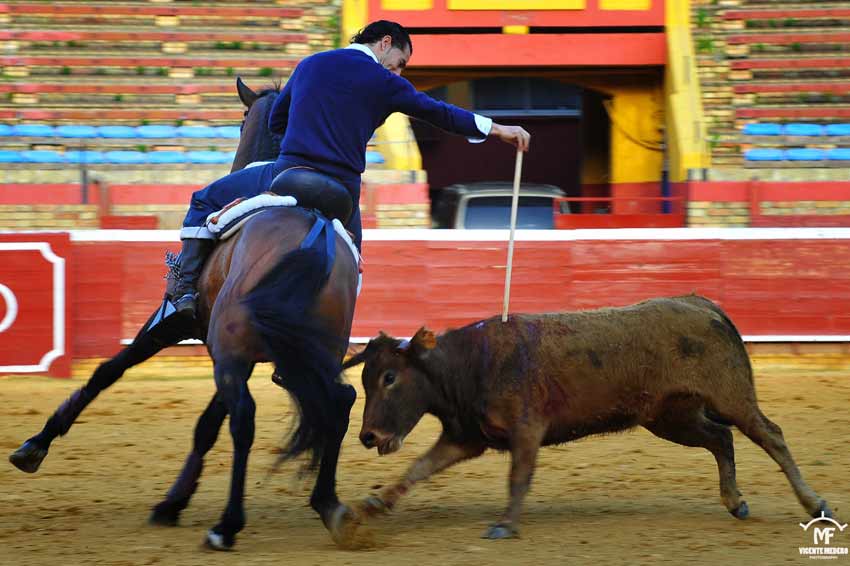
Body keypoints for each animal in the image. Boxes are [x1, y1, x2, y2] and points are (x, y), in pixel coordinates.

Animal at [9, 80, 362, 552]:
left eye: (240, 120)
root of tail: (314, 226)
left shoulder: (173, 326)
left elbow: (108, 372)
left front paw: (34, 446)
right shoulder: (235, 351)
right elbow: (206, 424)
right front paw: (172, 502)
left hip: (235, 346)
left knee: (246, 418)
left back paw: (227, 525)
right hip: (303, 353)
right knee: (337, 404)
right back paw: (330, 506)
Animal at [342, 298, 832, 540]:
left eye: (389, 377)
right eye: (365, 378)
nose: (368, 435)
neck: (468, 365)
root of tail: (706, 306)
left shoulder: (526, 431)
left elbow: (518, 479)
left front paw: (505, 525)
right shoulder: (466, 437)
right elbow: (418, 468)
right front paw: (375, 503)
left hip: (731, 397)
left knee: (770, 436)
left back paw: (816, 505)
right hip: (670, 417)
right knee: (721, 439)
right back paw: (735, 501)